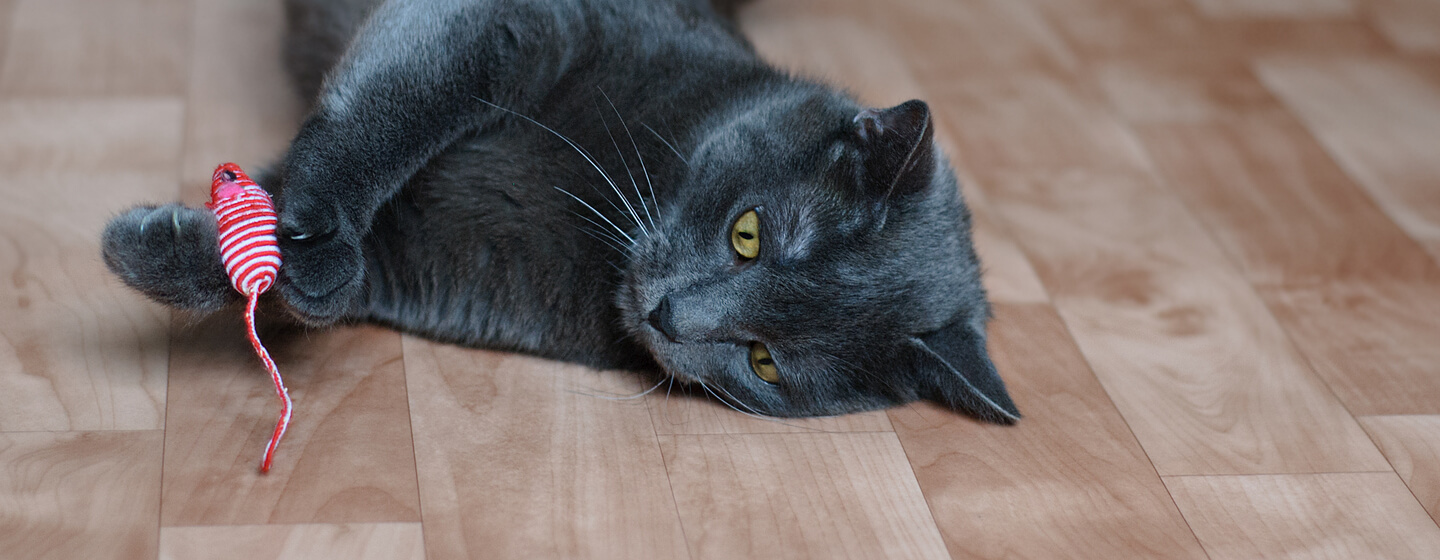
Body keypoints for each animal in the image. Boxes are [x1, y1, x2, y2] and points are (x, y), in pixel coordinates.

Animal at [98, 0, 1025, 420]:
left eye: (764, 362)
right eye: (749, 233)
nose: (669, 315)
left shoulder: (452, 260)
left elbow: (339, 283)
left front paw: (160, 249)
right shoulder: (512, 21)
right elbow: (388, 108)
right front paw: (302, 223)